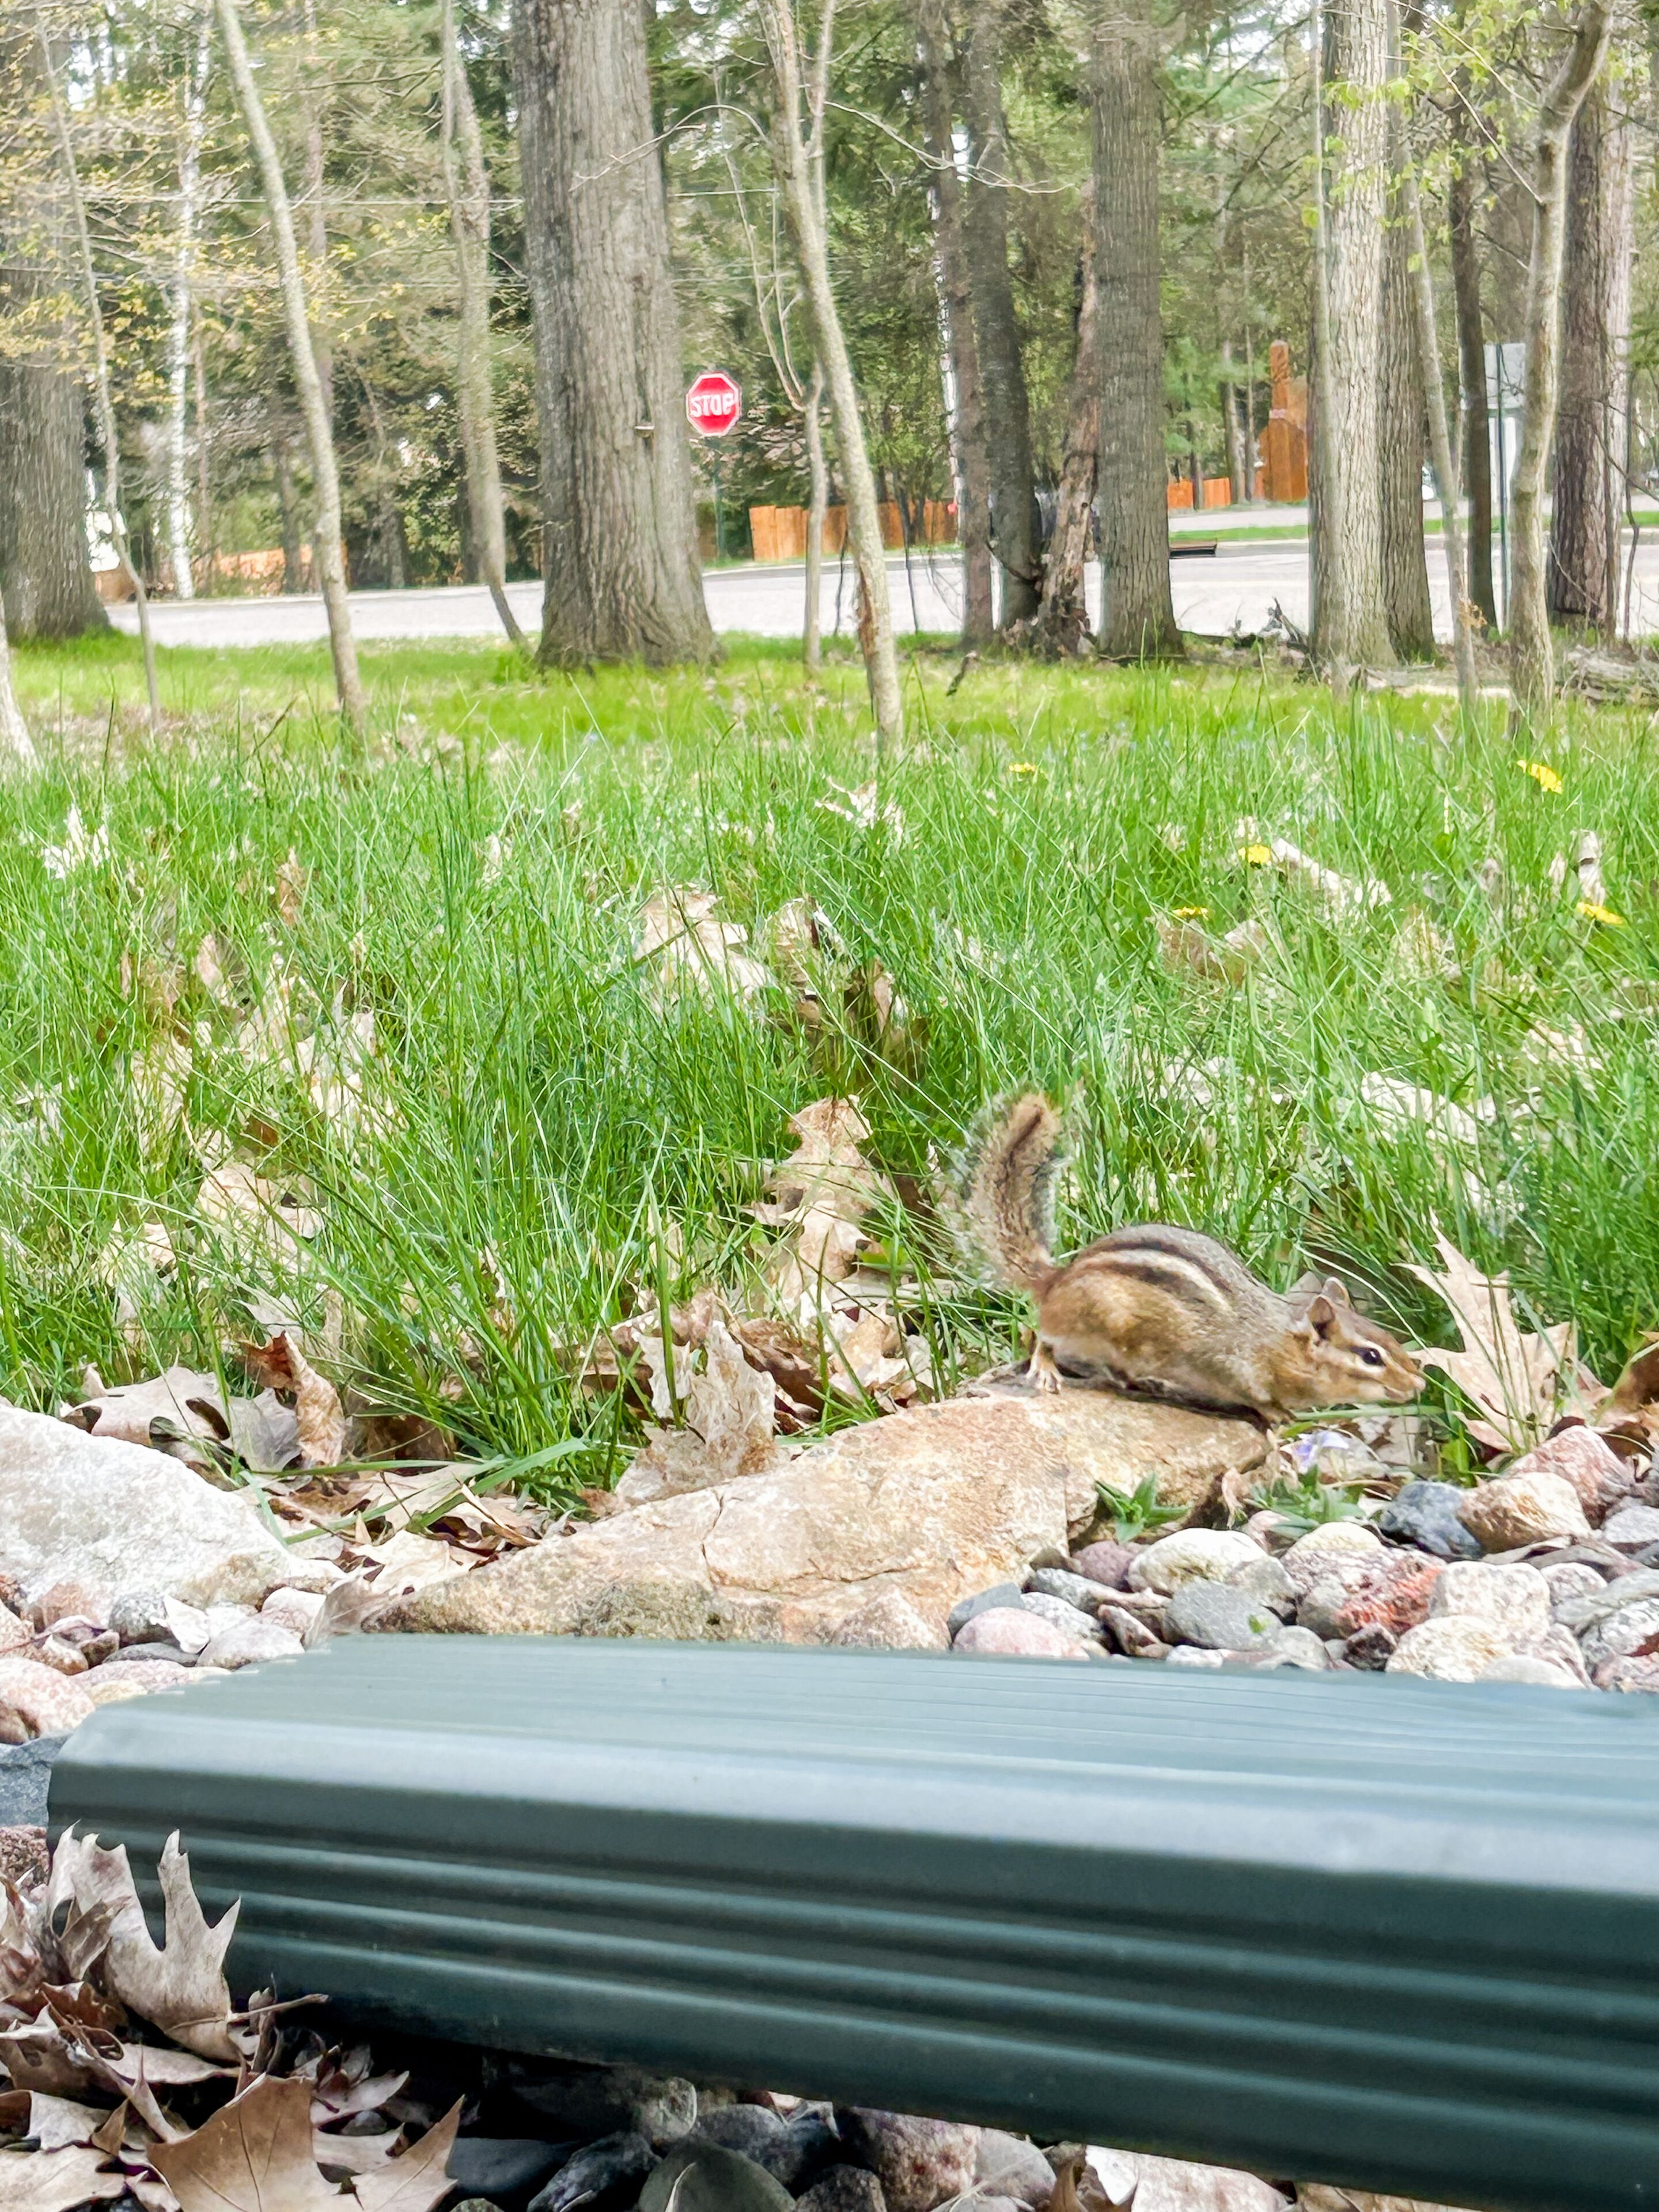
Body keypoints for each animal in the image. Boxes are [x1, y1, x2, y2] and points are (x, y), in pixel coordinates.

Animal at [958, 1091, 1422, 1419]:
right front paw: (1277, 1413)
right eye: (1370, 1357)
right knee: (1041, 1335)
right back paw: (1048, 1368)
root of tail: (1057, 1279)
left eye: (1389, 1340)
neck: (1276, 1341)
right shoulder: (1230, 1369)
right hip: (1088, 1320)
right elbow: (1252, 1396)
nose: (1420, 1385)